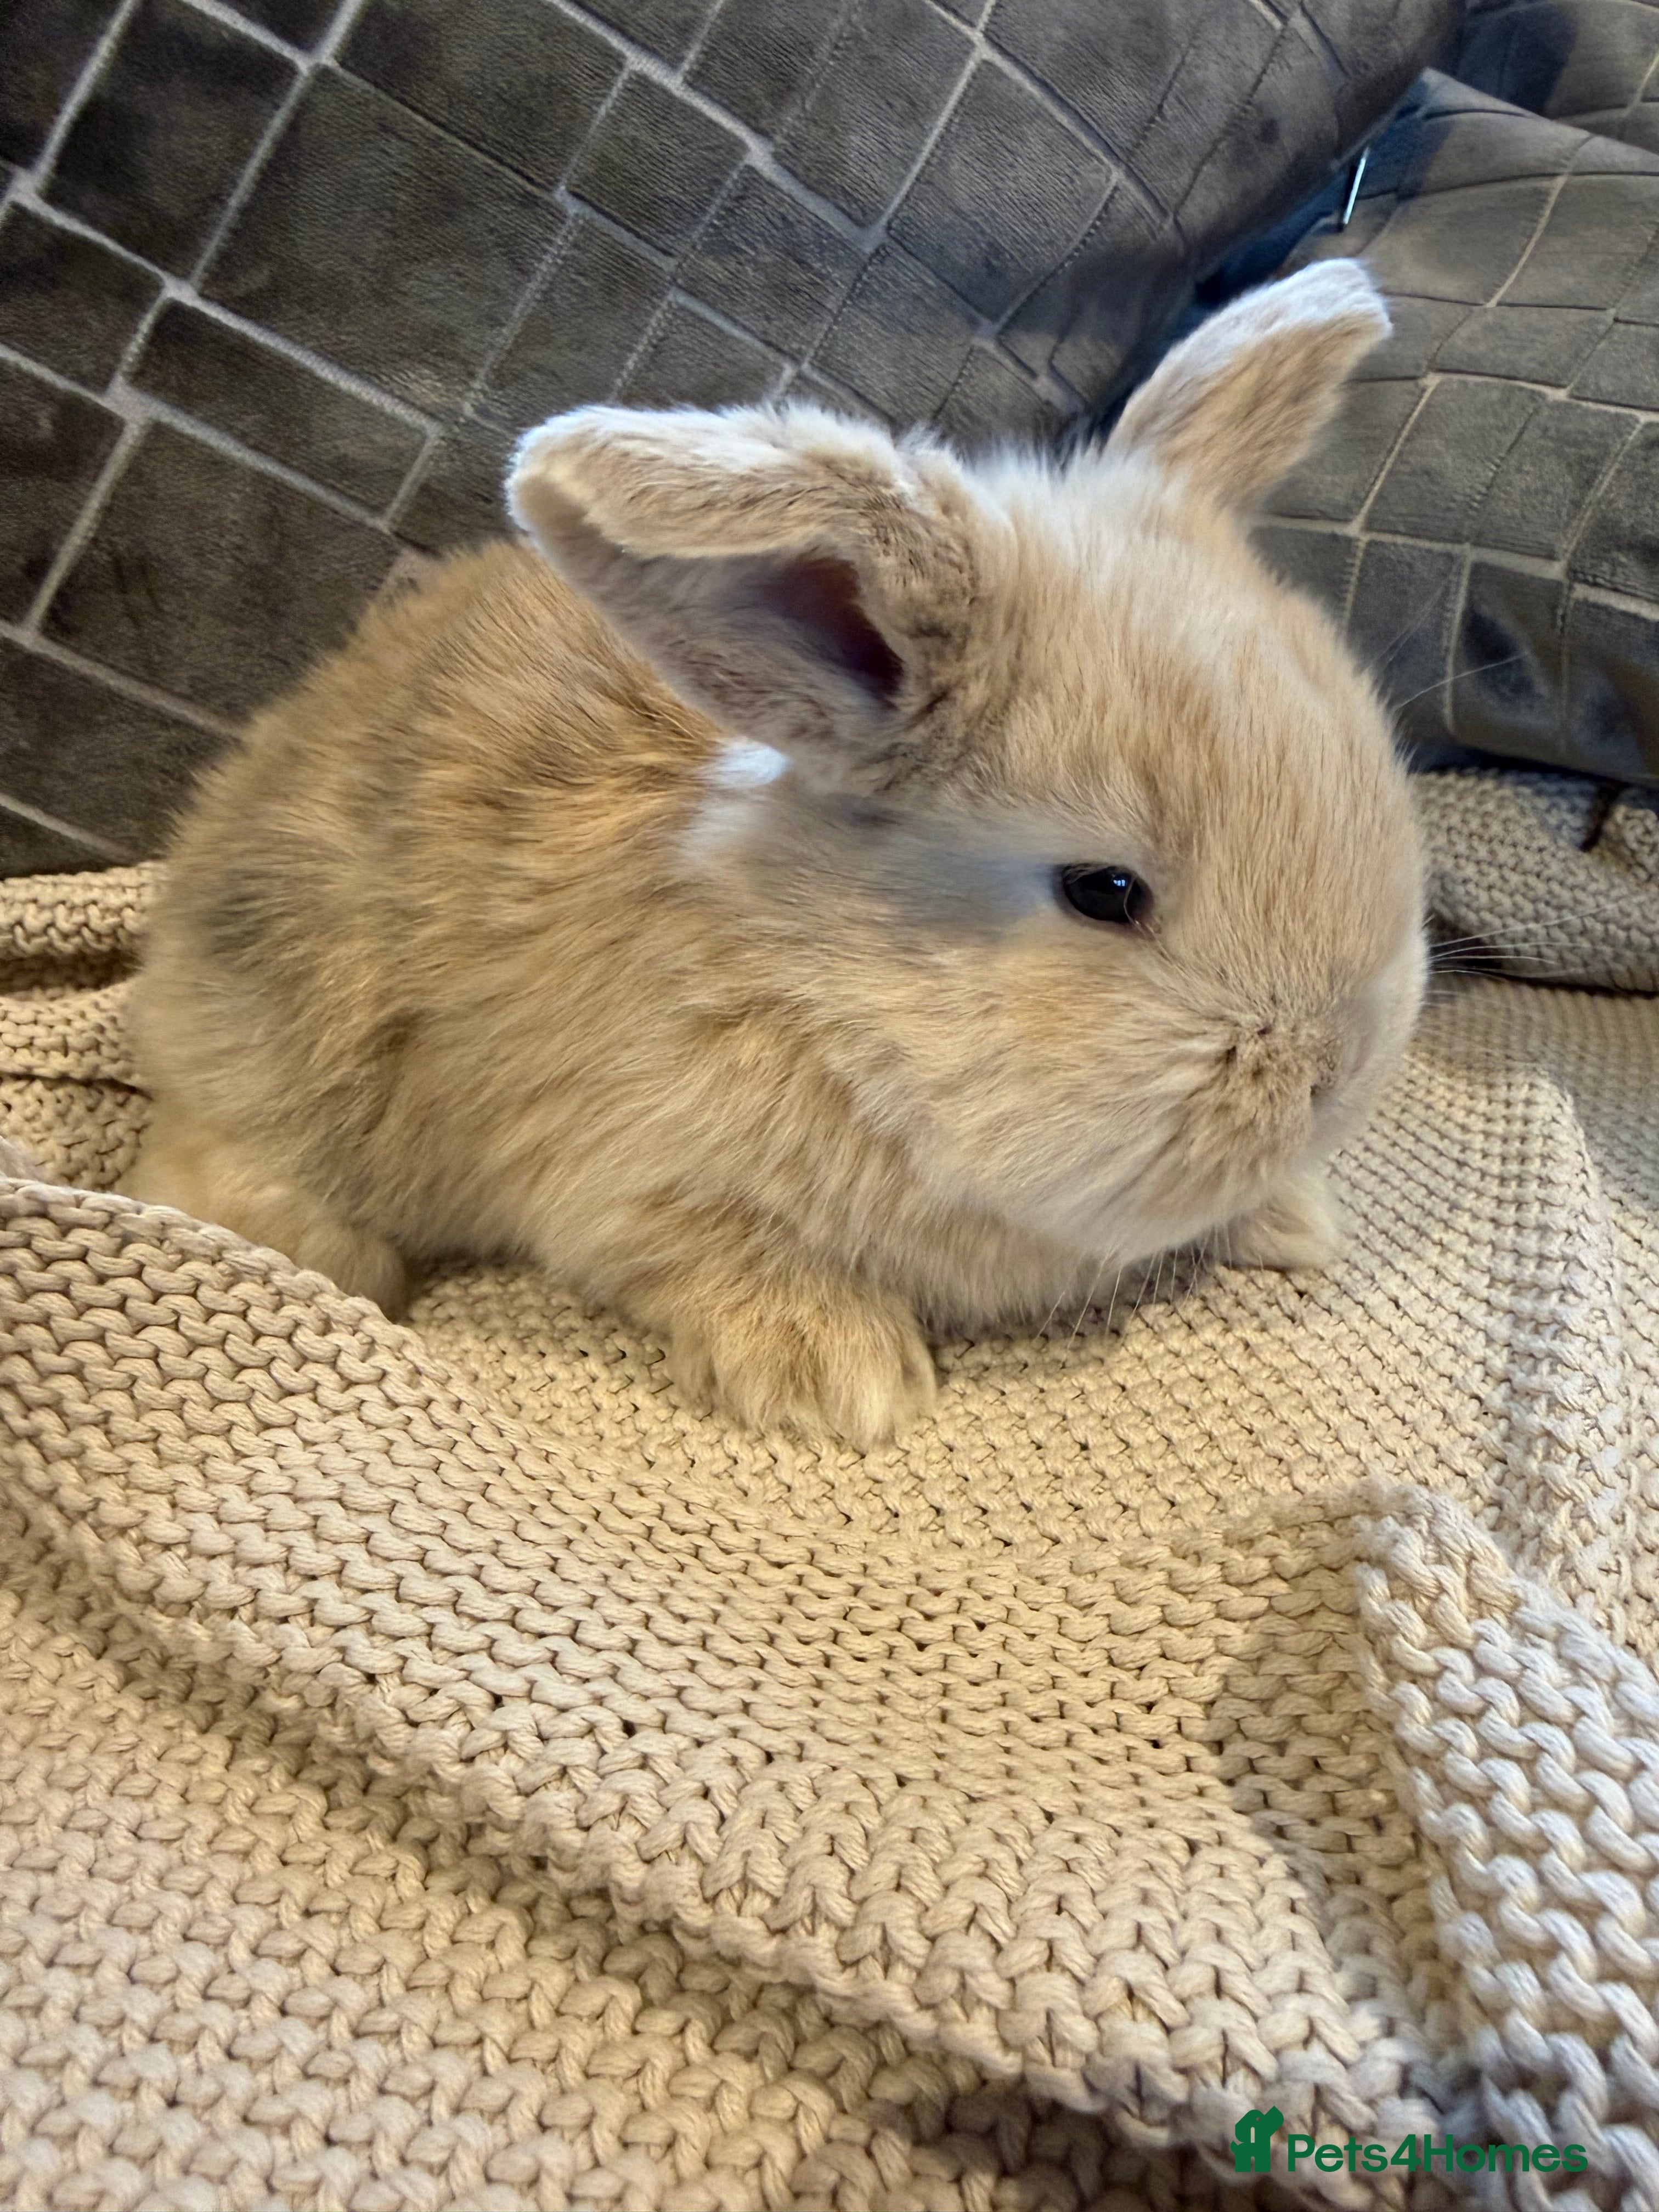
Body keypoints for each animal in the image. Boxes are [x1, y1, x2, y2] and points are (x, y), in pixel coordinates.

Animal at [121, 258, 1426, 1449]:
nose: (1333, 1076)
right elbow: (714, 1258)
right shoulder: (622, 1182)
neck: (834, 999)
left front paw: (1295, 1221)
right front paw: (841, 1379)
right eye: (1103, 892)